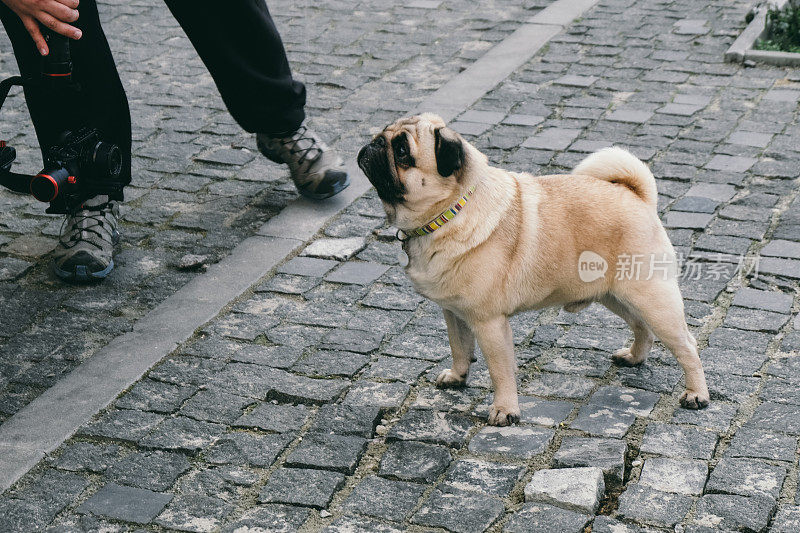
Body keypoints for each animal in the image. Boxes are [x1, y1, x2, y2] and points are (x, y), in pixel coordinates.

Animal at [360, 114, 708, 426]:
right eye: (385, 132)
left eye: (402, 151)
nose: (375, 142)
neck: (450, 212)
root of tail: (637, 196)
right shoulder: (453, 312)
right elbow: (459, 347)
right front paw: (458, 377)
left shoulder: (489, 322)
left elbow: (500, 371)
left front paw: (505, 411)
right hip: (613, 294)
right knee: (641, 327)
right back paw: (635, 357)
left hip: (650, 296)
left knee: (687, 345)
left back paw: (697, 395)